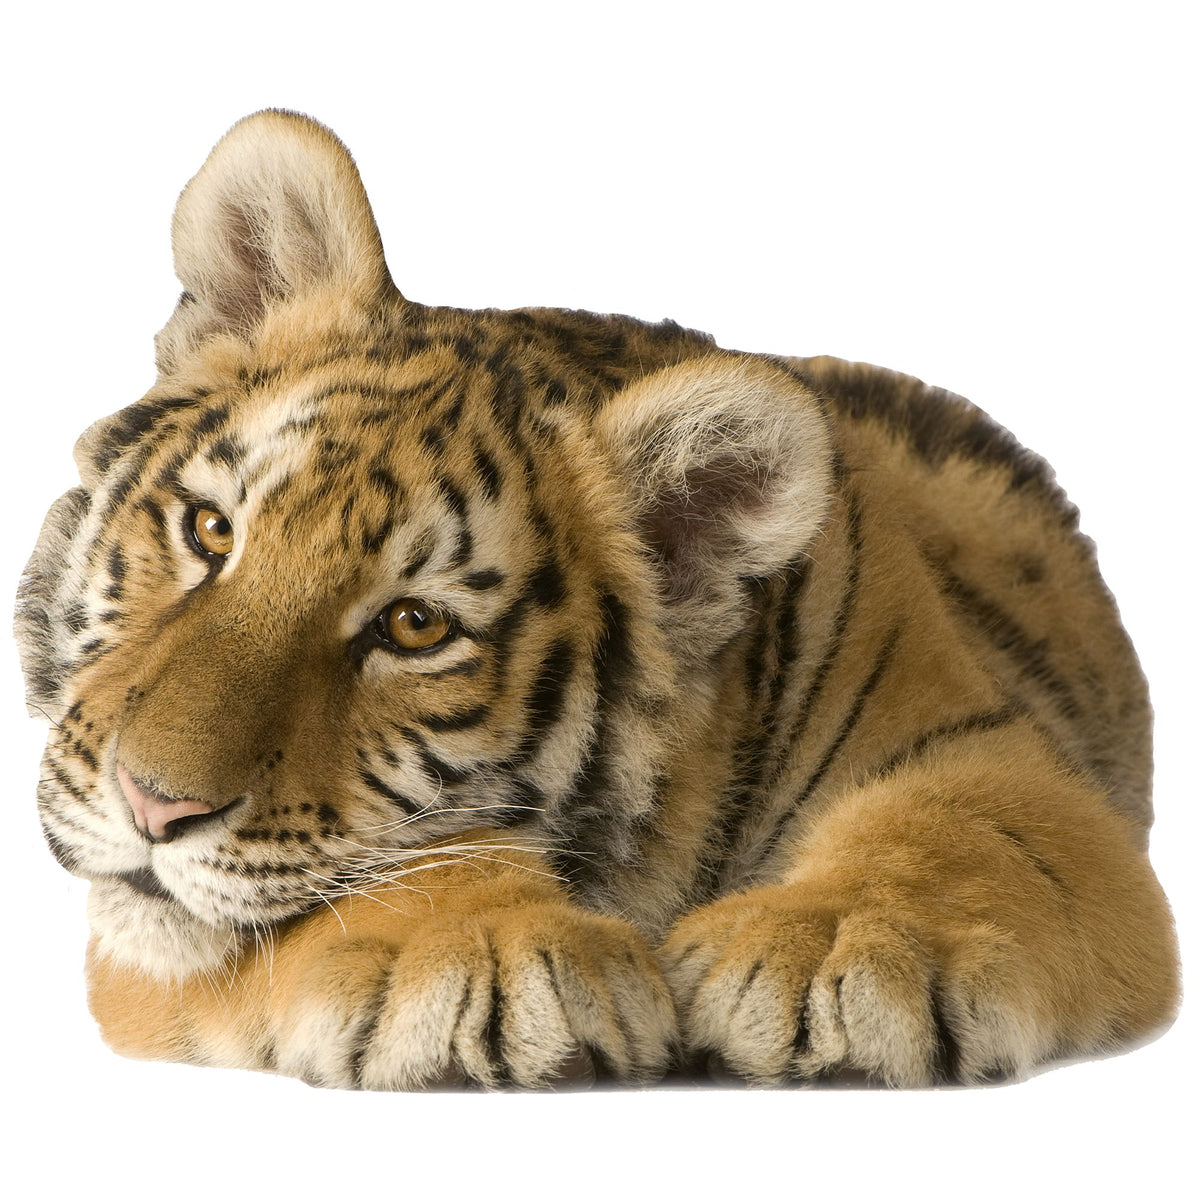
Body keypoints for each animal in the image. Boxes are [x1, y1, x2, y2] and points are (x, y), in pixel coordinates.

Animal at [15, 109, 1178, 1090]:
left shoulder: (1005, 761)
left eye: (415, 625)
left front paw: (834, 945)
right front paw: (492, 951)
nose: (153, 807)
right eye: (210, 531)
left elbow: (965, 834)